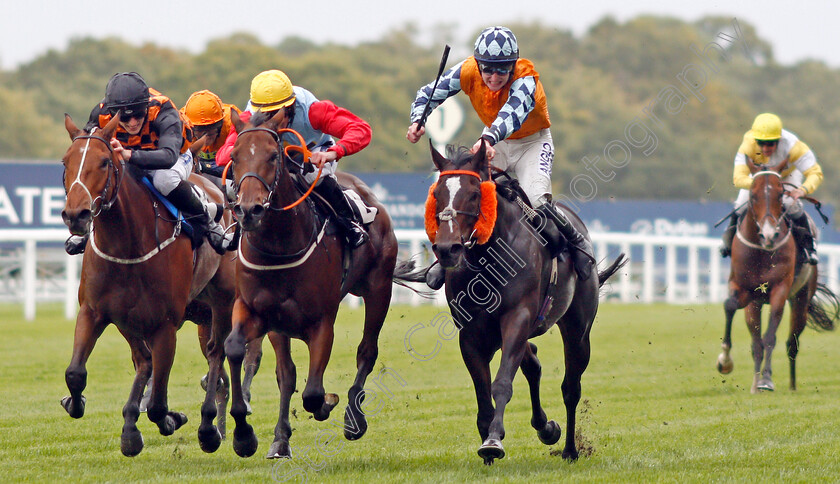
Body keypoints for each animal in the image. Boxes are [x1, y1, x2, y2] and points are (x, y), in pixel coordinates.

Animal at [60, 112, 240, 454]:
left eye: (104, 161)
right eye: (66, 161)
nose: (76, 215)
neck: (127, 244)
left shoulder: (165, 324)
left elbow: (158, 402)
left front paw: (171, 419)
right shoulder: (96, 311)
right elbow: (76, 373)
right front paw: (78, 403)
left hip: (222, 302)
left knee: (216, 353)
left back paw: (212, 428)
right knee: (145, 362)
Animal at [426, 142, 624, 464]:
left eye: (474, 193)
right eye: (437, 194)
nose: (447, 249)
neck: (488, 260)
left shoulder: (517, 318)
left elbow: (502, 383)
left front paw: (493, 440)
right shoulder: (471, 334)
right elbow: (483, 393)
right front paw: (488, 446)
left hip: (578, 331)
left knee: (571, 387)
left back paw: (569, 449)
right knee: (533, 363)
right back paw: (547, 428)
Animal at [716, 163, 840, 394]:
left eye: (780, 194)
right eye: (753, 195)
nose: (768, 235)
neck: (762, 251)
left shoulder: (779, 291)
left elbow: (770, 337)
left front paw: (766, 380)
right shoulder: (744, 290)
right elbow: (730, 307)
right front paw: (725, 362)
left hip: (801, 299)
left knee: (792, 343)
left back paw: (791, 386)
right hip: (756, 304)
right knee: (756, 342)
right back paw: (756, 383)